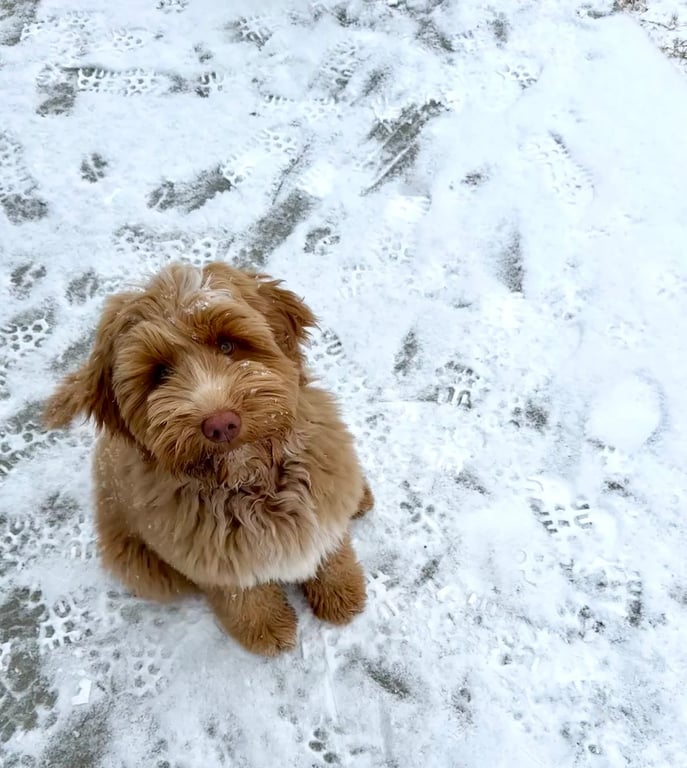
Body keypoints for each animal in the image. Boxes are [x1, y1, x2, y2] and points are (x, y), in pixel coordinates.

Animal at [44, 262, 373, 655]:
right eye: (160, 373)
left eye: (227, 344)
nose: (220, 424)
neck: (251, 483)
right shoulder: (209, 553)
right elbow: (241, 595)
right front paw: (267, 630)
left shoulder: (323, 495)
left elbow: (331, 550)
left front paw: (341, 595)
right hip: (138, 561)